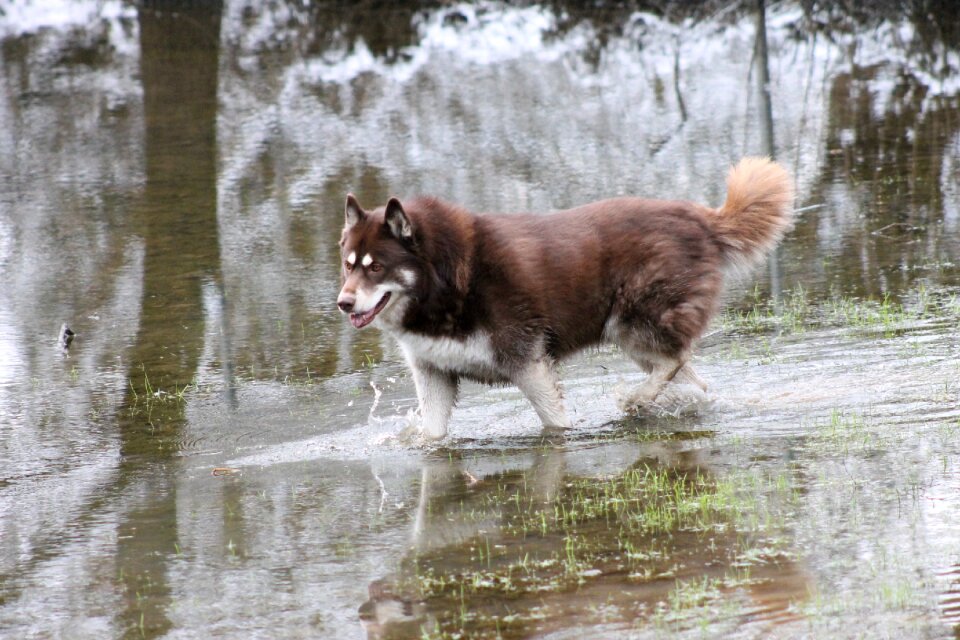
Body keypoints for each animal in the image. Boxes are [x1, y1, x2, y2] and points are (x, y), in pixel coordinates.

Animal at [338, 158, 796, 442]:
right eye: (348, 265)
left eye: (376, 267)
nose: (343, 303)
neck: (447, 281)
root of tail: (699, 216)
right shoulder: (433, 371)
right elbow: (433, 433)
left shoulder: (528, 363)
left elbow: (554, 424)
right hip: (635, 336)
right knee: (693, 380)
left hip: (633, 323)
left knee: (674, 359)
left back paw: (635, 400)